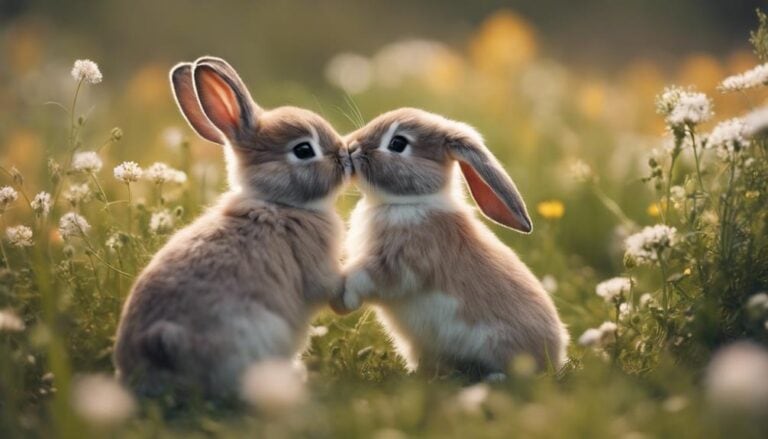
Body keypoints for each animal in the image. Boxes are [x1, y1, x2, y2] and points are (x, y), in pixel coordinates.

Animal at [338, 108, 569, 379]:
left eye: (397, 143)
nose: (351, 146)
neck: (411, 201)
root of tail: (556, 352)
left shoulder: (403, 262)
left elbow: (366, 277)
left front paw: (344, 299)